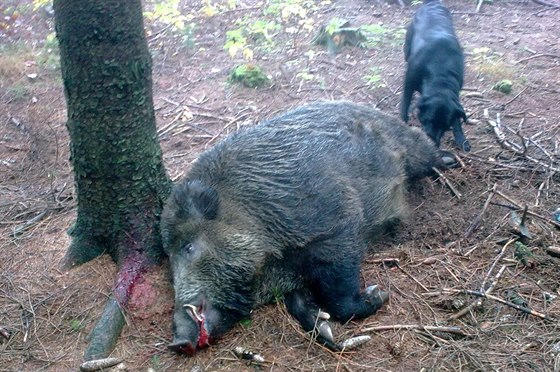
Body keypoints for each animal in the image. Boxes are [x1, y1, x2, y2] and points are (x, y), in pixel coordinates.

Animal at [400, 0, 470, 152]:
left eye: (446, 127)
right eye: (427, 120)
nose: (433, 144)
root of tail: (432, 3)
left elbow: (457, 118)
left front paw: (461, 138)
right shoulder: (409, 81)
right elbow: (405, 103)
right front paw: (402, 120)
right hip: (407, 48)